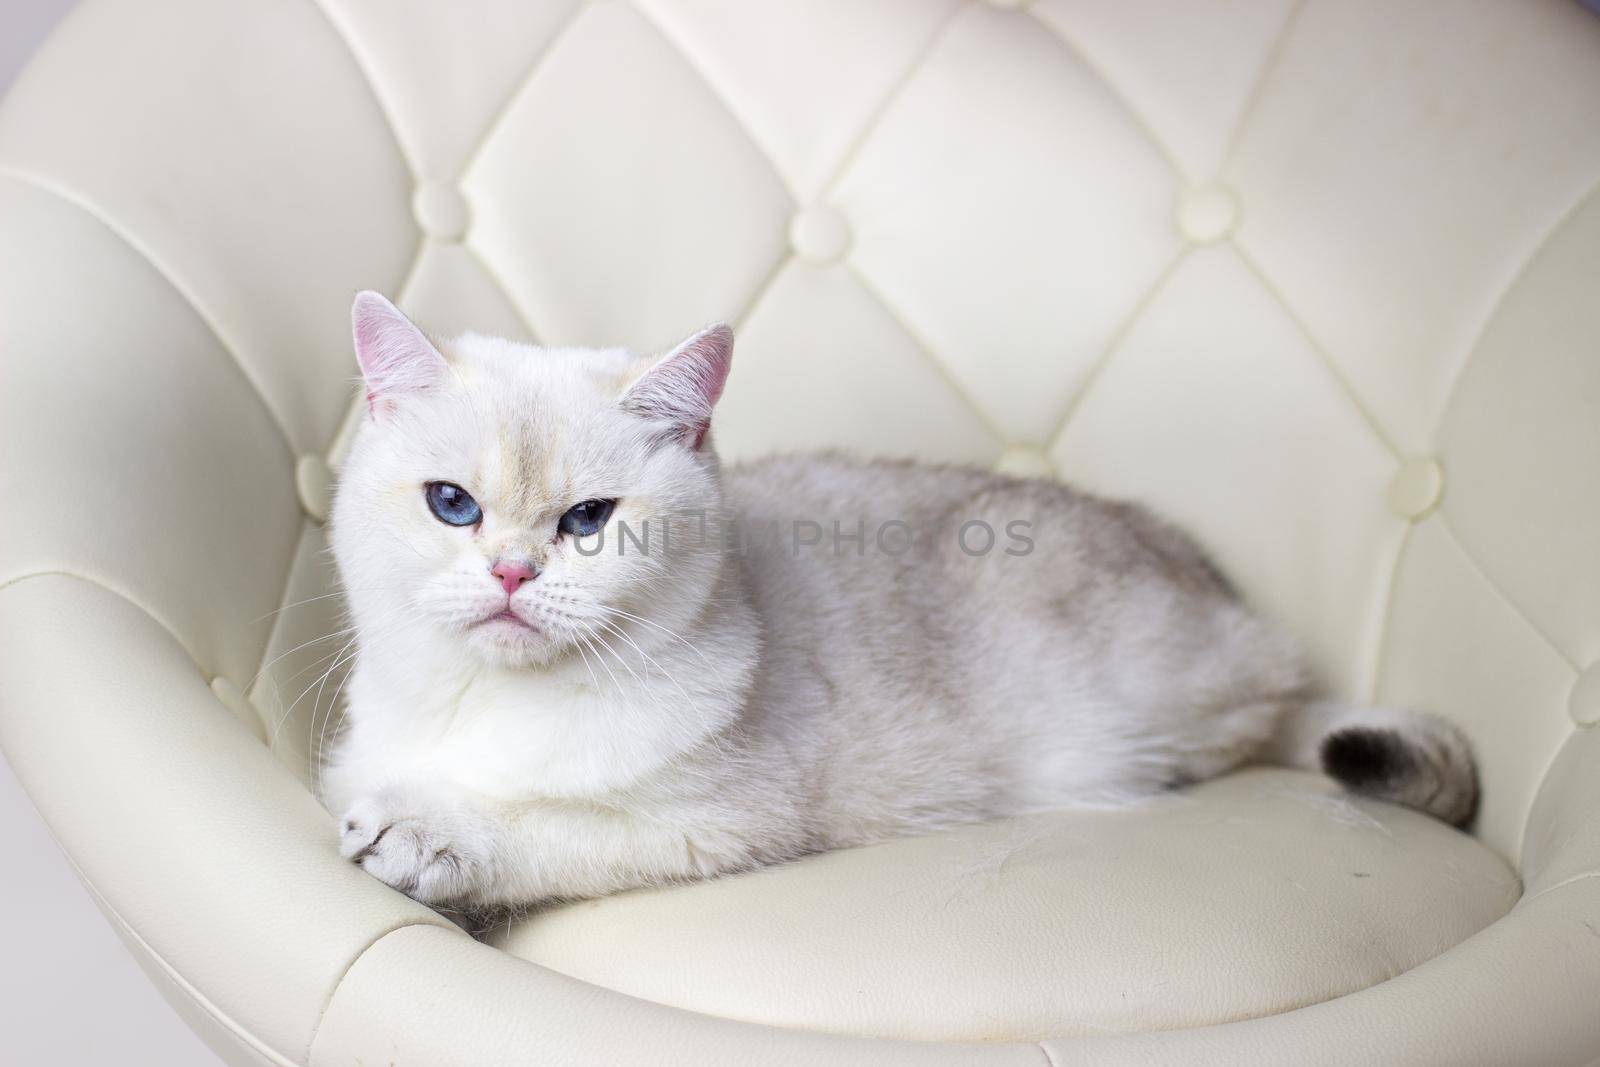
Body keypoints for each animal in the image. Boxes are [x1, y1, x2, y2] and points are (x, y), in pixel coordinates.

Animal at [321, 289, 1472, 908]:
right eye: (454, 505)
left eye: (588, 521)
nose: (514, 573)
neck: (491, 703)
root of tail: (1196, 565)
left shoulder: (711, 826)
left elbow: (536, 827)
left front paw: (423, 834)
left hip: (1160, 695)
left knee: (1272, 708)